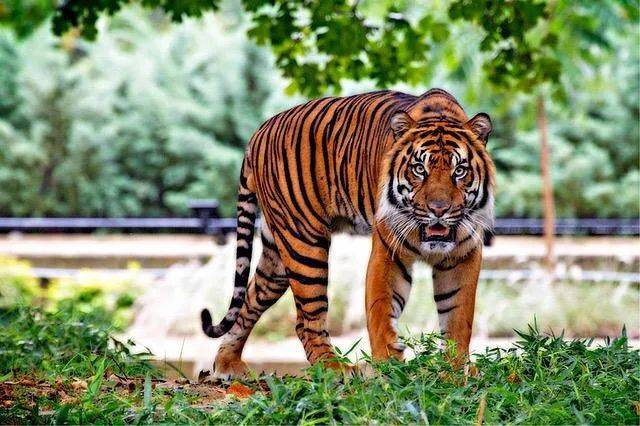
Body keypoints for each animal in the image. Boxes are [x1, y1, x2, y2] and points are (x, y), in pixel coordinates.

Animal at [201, 88, 495, 378]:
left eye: (459, 171)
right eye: (419, 169)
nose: (438, 209)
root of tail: (259, 131)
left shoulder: (463, 256)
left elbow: (458, 317)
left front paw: (454, 370)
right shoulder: (388, 253)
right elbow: (381, 311)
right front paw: (389, 368)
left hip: (277, 257)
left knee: (250, 300)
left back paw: (227, 363)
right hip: (304, 244)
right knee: (306, 320)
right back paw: (335, 369)